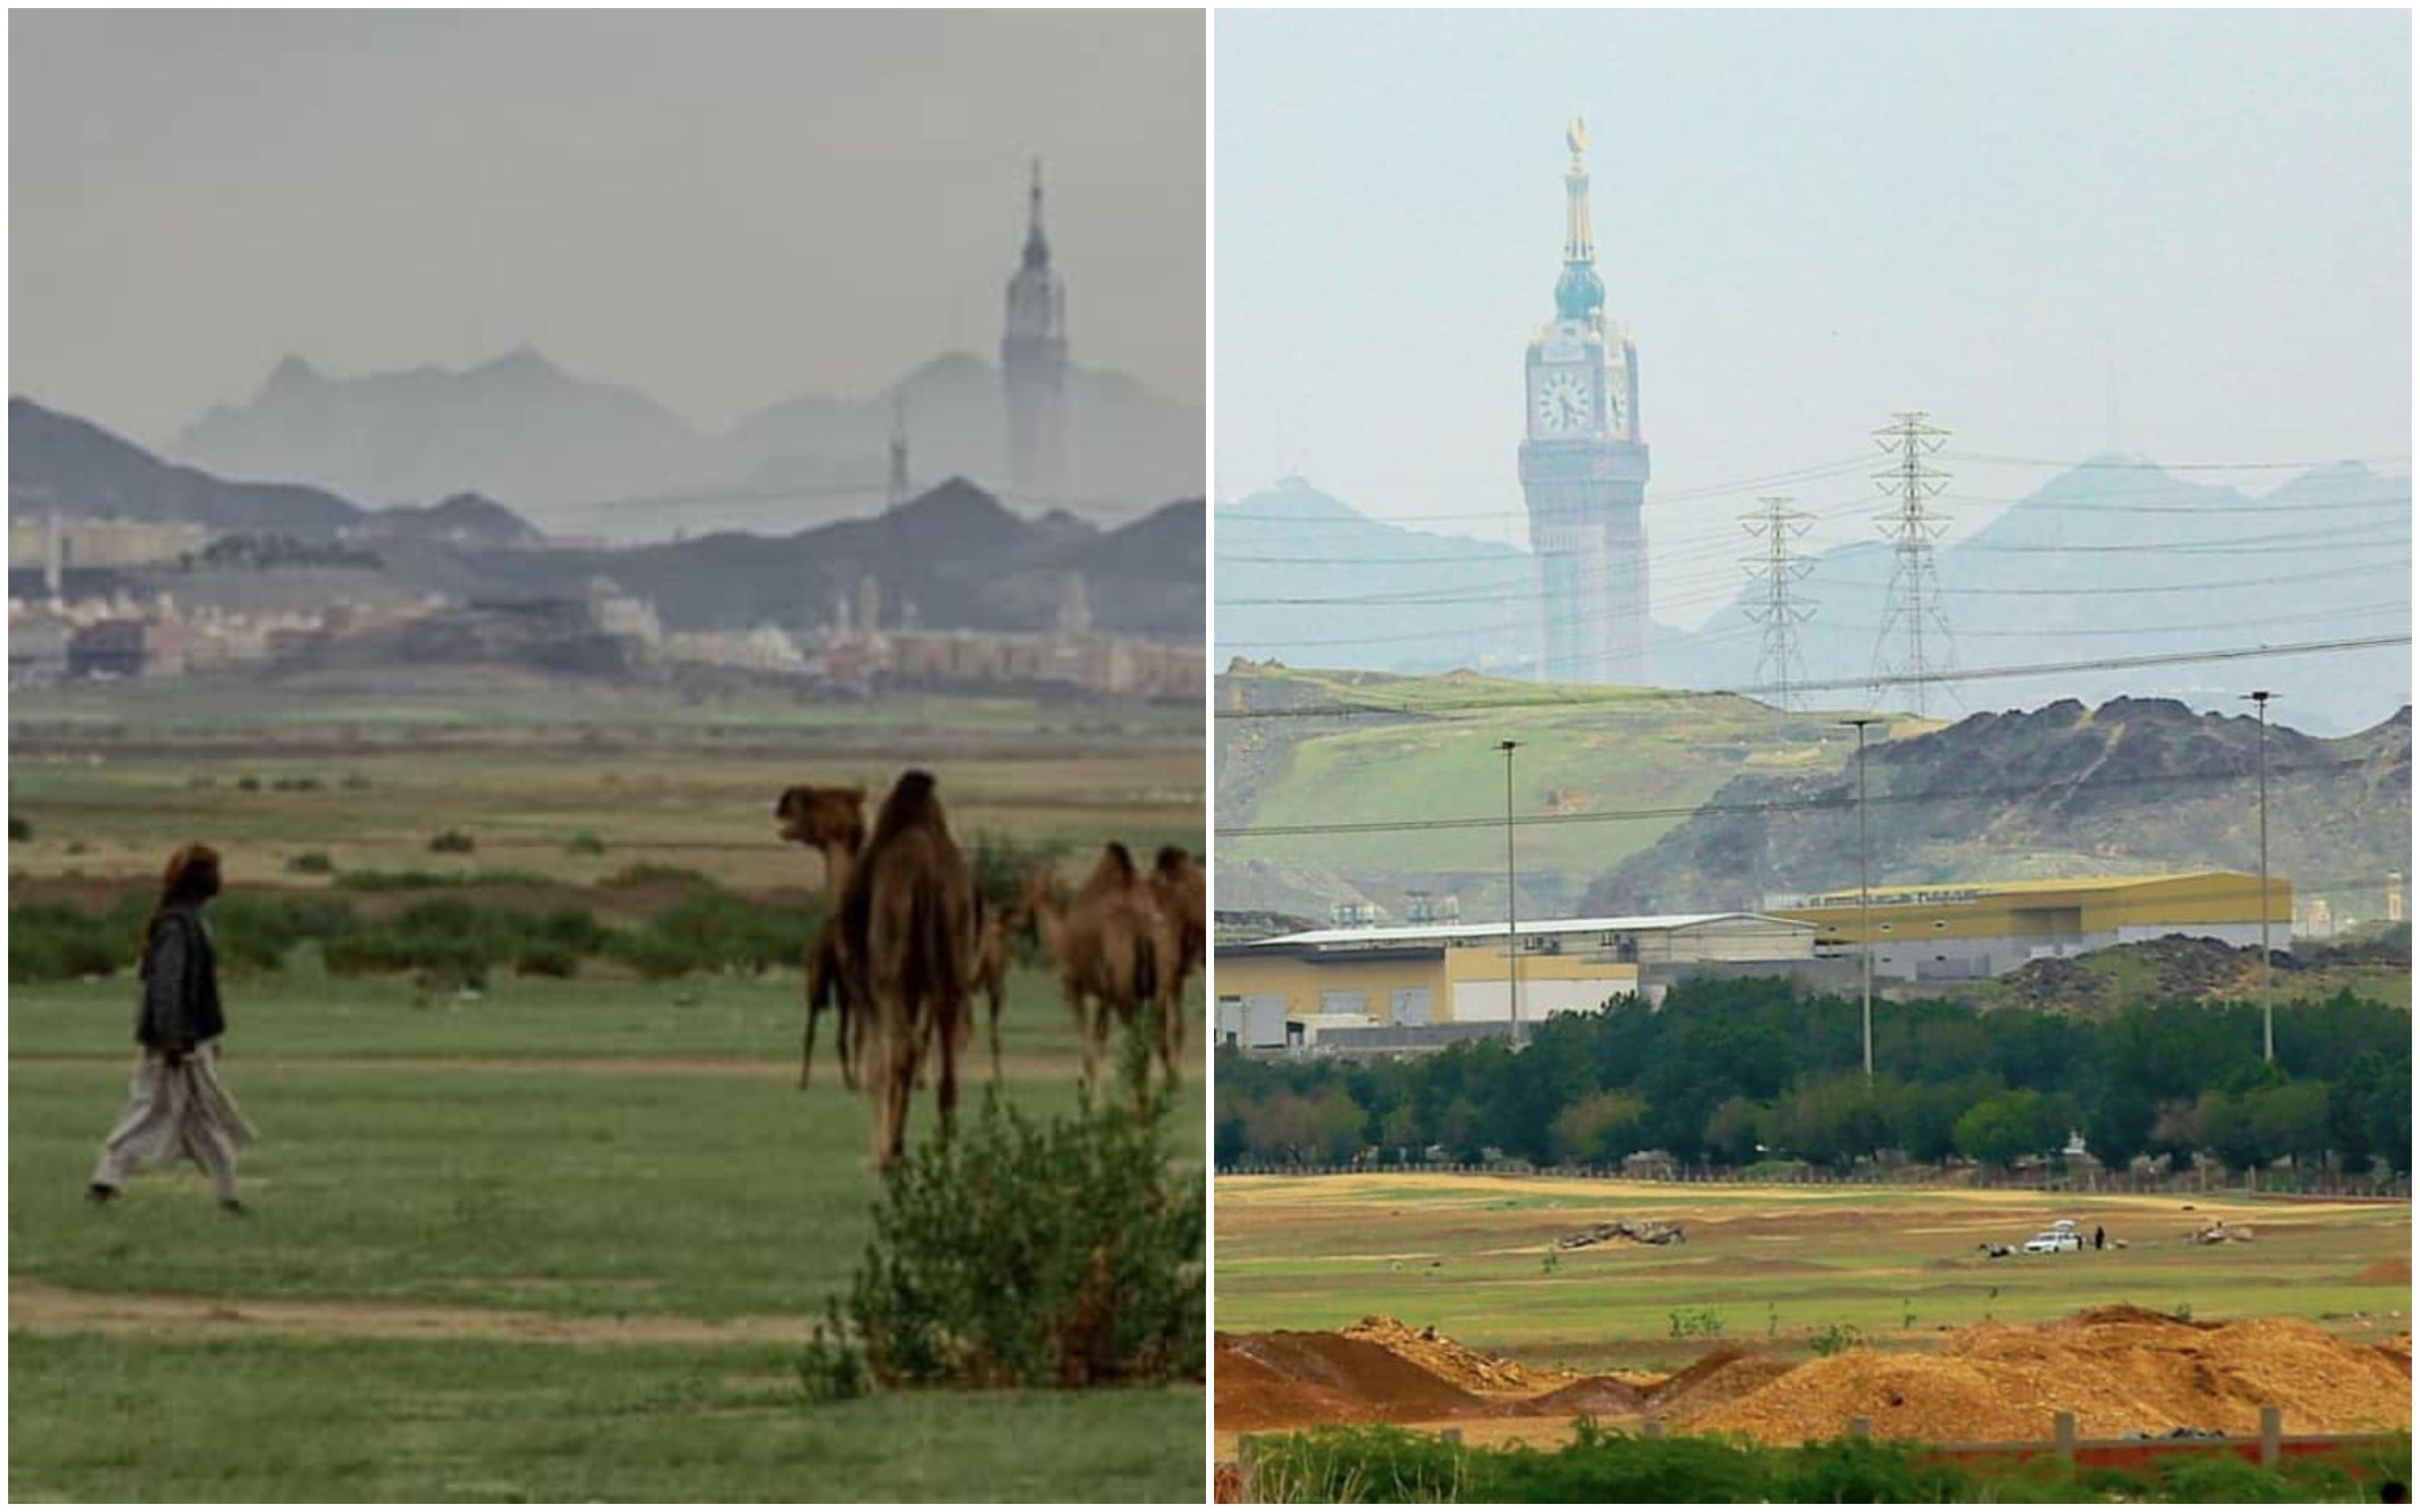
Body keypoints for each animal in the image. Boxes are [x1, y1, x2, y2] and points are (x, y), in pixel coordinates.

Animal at [837, 764, 977, 1166]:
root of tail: (928, 874)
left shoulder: (863, 986)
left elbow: (876, 1066)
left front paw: (879, 1153)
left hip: (889, 975)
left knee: (901, 1049)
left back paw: (890, 1155)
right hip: (953, 963)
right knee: (947, 1052)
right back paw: (945, 1152)